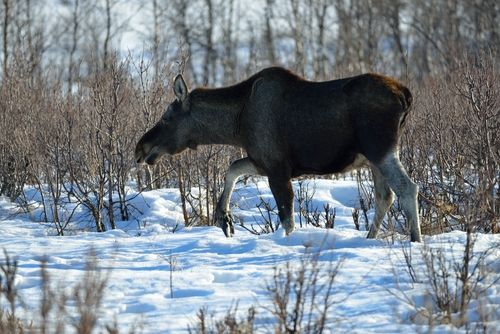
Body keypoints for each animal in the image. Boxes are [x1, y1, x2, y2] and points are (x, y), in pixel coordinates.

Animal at [134, 66, 422, 241]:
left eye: (166, 117)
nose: (140, 148)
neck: (236, 123)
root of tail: (406, 96)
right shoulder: (263, 162)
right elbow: (233, 168)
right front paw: (224, 217)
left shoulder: (277, 169)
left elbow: (287, 220)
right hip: (374, 159)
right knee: (385, 196)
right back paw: (370, 239)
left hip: (380, 149)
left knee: (407, 188)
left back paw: (415, 240)